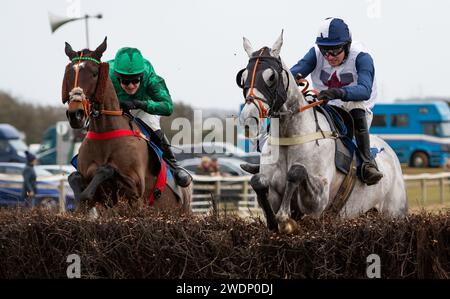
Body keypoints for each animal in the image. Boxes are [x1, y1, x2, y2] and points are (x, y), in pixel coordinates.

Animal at [61, 38, 192, 216]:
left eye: (94, 73)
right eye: (68, 74)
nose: (76, 114)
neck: (105, 133)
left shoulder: (135, 189)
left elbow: (107, 170)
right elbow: (75, 180)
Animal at [237, 32, 410, 234]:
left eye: (271, 77)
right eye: (243, 77)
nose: (248, 118)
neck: (289, 138)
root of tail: (390, 152)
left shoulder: (318, 200)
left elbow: (296, 171)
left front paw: (285, 218)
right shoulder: (272, 193)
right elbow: (258, 182)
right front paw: (275, 220)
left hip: (395, 212)